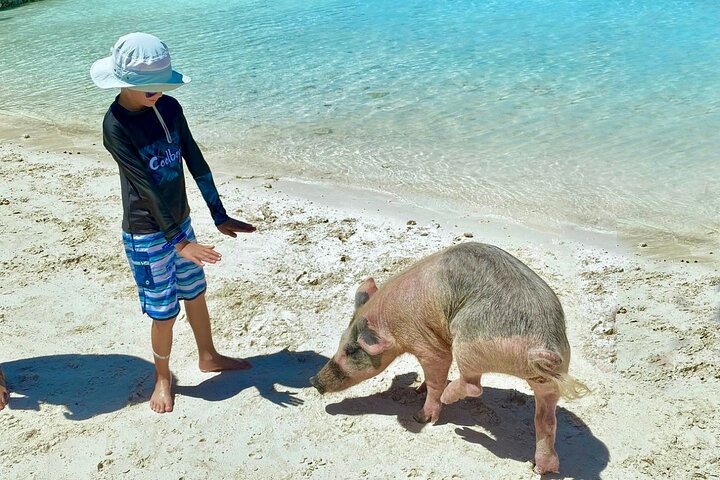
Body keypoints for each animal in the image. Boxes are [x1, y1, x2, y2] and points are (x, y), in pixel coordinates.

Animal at [310, 242, 588, 474]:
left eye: (351, 350)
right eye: (341, 342)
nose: (314, 381)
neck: (392, 321)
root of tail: (542, 347)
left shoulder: (427, 342)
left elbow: (437, 370)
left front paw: (420, 415)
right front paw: (418, 389)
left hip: (468, 342)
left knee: (474, 386)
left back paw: (453, 414)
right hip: (551, 376)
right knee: (546, 419)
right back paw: (543, 469)